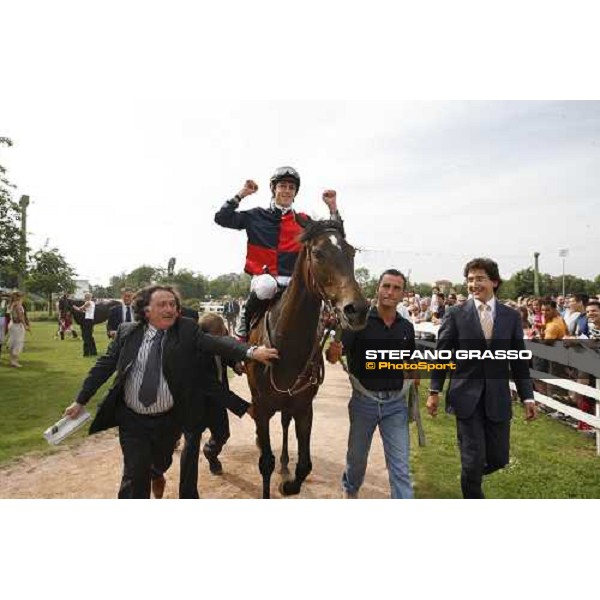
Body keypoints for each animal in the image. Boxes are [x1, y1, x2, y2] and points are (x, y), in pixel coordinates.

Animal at [245, 218, 368, 500]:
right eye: (319, 253)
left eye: (351, 252)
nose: (357, 309)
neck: (287, 347)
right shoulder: (262, 405)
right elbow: (265, 462)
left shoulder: (303, 407)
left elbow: (305, 465)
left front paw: (289, 484)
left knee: (284, 425)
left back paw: (284, 464)